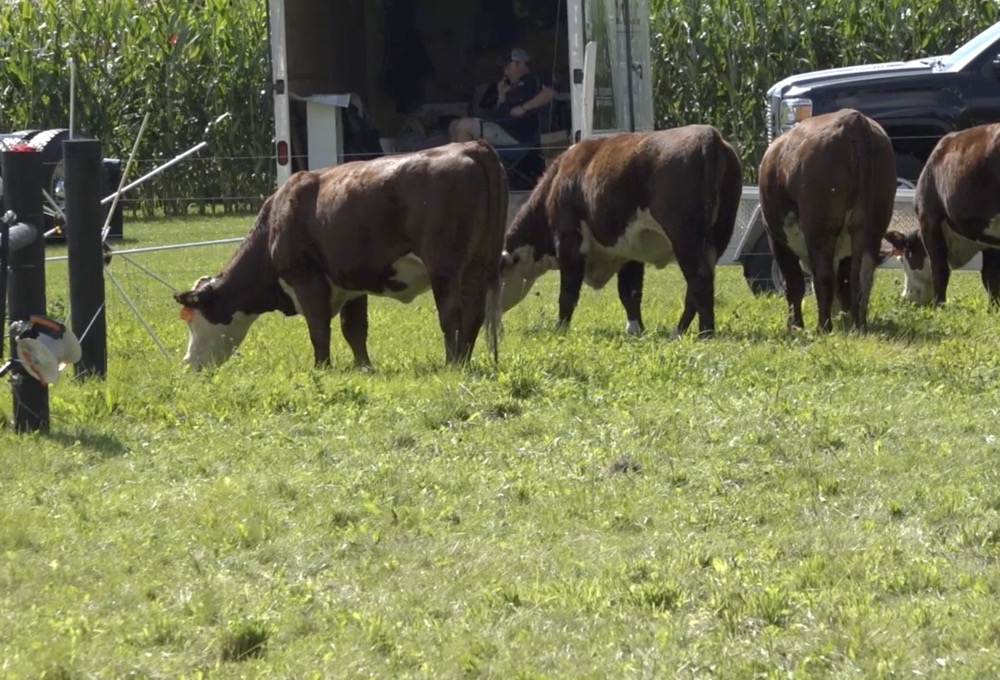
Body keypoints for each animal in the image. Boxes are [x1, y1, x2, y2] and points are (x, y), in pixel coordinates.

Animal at [172, 140, 508, 371]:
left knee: (452, 314)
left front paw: (321, 368)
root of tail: (469, 146)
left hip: (444, 268)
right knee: (474, 314)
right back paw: (463, 360)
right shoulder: (352, 283)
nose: (188, 363)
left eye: (194, 320)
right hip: (479, 264)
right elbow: (354, 329)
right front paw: (364, 367)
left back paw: (452, 363)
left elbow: (319, 329)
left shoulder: (306, 278)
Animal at [497, 125, 742, 338]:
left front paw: (560, 329)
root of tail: (709, 135)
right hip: (716, 238)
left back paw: (705, 332)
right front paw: (635, 329)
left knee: (699, 280)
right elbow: (629, 292)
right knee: (698, 285)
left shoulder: (569, 245)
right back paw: (679, 330)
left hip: (685, 237)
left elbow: (567, 295)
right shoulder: (630, 250)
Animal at [758, 108, 896, 332]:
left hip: (820, 229)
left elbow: (794, 284)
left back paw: (823, 327)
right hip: (872, 226)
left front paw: (795, 325)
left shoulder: (775, 238)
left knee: (823, 276)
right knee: (861, 274)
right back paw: (859, 324)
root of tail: (853, 120)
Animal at [884, 122, 1000, 307]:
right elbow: (991, 275)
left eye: (903, 258)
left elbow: (939, 269)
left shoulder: (929, 220)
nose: (906, 296)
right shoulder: (989, 235)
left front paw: (939, 305)